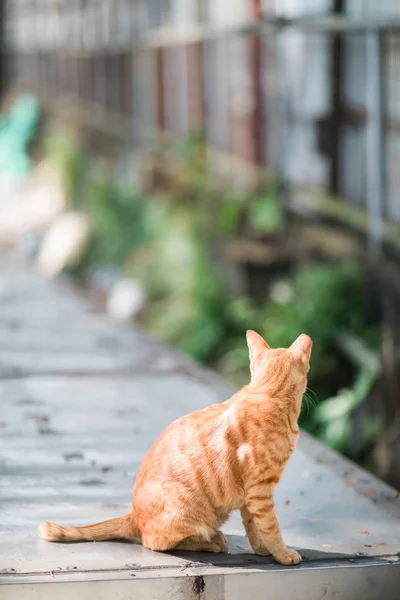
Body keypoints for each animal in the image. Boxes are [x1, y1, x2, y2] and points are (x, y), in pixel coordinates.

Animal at [38, 330, 312, 564]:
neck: (269, 394)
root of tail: (133, 515)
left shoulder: (250, 496)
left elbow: (254, 528)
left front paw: (263, 550)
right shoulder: (260, 492)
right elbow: (271, 527)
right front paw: (282, 554)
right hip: (189, 512)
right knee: (156, 543)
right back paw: (213, 541)